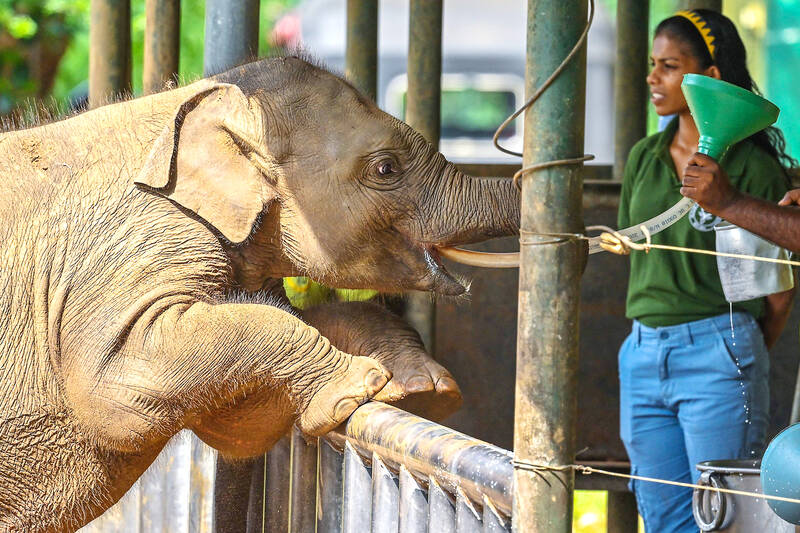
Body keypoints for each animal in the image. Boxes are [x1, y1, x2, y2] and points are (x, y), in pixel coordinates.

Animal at [0, 56, 520, 528]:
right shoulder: (125, 245)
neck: (196, 98)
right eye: (387, 168)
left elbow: (244, 421)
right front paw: (362, 387)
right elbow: (115, 389)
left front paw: (421, 393)